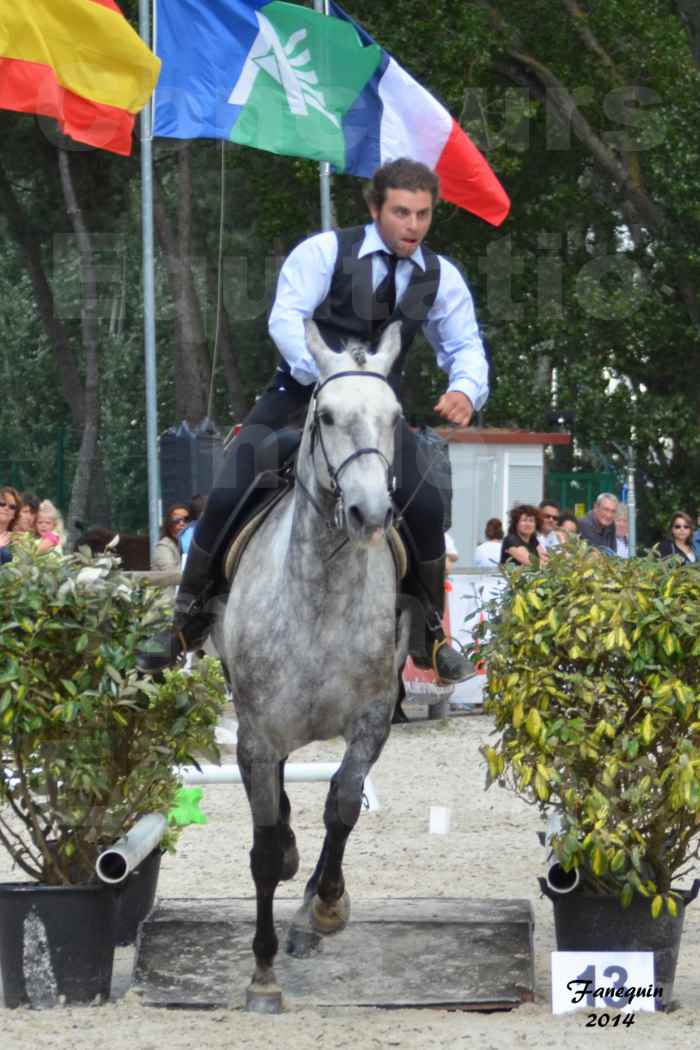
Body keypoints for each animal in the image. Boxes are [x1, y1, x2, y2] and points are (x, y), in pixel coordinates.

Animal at [215, 323, 411, 1012]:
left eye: (395, 418)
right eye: (325, 416)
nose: (370, 513)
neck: (320, 595)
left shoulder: (372, 720)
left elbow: (343, 804)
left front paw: (324, 908)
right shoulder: (257, 732)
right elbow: (264, 846)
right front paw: (262, 976)